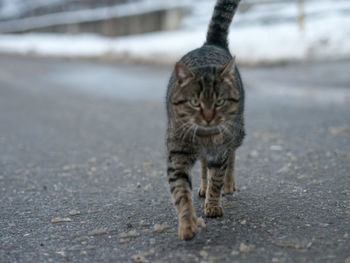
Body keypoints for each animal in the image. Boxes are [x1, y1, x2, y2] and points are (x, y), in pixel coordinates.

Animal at [165, 0, 245, 240]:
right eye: (194, 102)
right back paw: (202, 186)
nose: (209, 118)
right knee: (202, 165)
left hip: (237, 132)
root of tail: (210, 44)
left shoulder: (220, 152)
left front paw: (214, 204)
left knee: (231, 157)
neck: (204, 137)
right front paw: (187, 223)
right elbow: (181, 191)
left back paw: (228, 185)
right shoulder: (178, 155)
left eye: (219, 102)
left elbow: (217, 178)